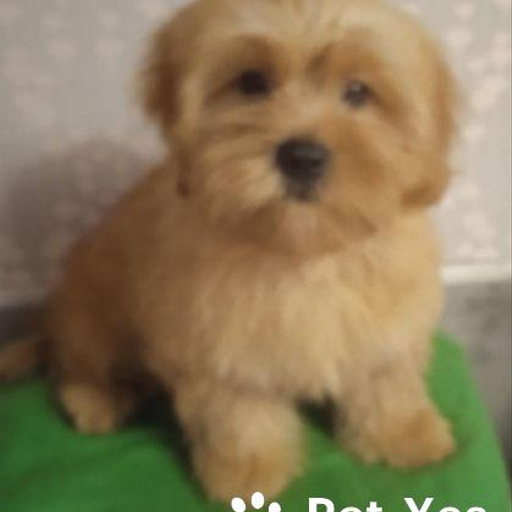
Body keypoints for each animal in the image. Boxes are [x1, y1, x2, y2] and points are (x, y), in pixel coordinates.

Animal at [0, 0, 458, 502]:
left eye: (358, 92)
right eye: (251, 83)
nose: (301, 156)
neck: (300, 251)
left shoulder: (385, 324)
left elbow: (387, 378)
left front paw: (404, 434)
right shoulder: (218, 341)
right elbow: (238, 409)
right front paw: (248, 470)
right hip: (95, 314)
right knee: (77, 363)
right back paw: (98, 400)